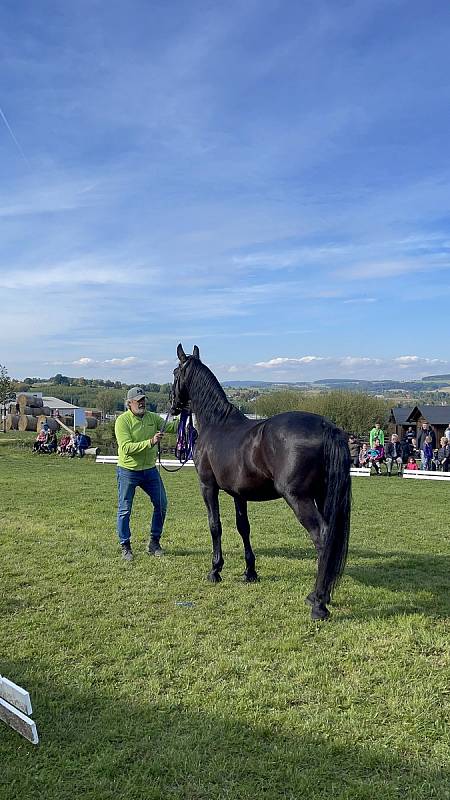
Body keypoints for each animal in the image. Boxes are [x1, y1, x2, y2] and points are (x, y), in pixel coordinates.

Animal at [172, 342, 352, 620]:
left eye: (174, 373)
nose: (173, 405)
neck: (216, 423)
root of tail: (326, 426)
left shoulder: (208, 487)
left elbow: (215, 526)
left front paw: (215, 570)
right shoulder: (238, 494)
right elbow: (243, 528)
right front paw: (250, 572)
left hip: (299, 498)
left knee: (322, 537)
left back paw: (318, 603)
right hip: (323, 496)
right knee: (331, 538)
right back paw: (321, 595)